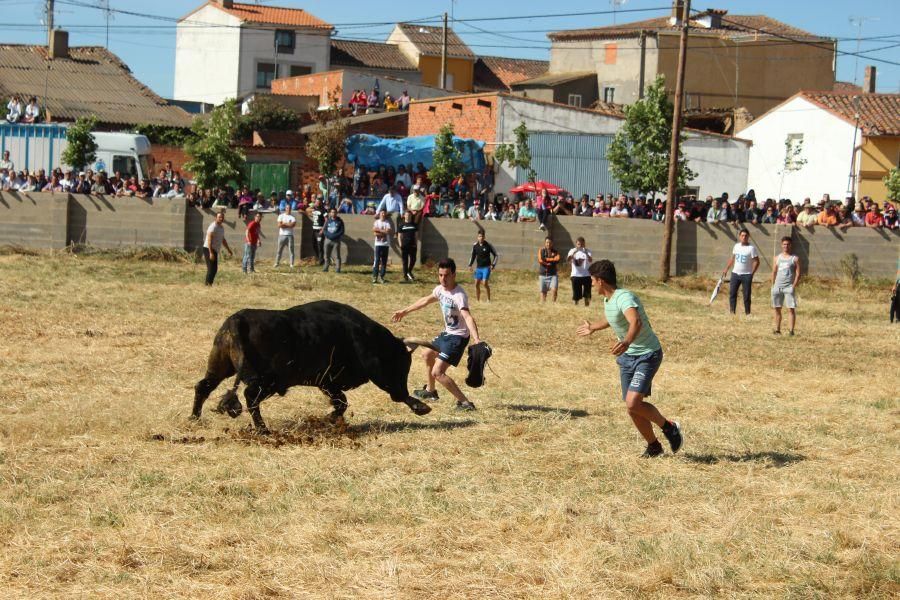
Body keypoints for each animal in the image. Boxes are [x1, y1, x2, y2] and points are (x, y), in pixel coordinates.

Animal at [192, 302, 436, 434]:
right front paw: (419, 405)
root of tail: (238, 320)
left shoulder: (326, 382)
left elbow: (341, 403)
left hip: (220, 365)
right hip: (268, 381)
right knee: (250, 397)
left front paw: (329, 419)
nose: (400, 390)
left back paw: (194, 418)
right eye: (400, 365)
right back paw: (263, 429)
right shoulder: (351, 375)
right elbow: (344, 401)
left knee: (204, 386)